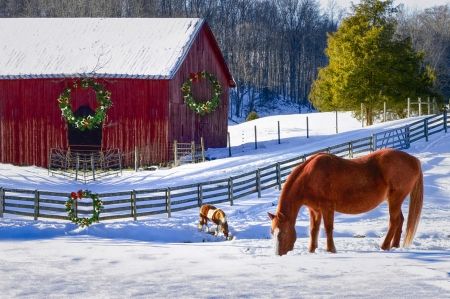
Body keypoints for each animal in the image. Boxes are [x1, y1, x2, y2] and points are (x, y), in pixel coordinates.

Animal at [268, 149, 424, 256]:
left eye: (282, 232)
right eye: (272, 232)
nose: (279, 254)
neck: (310, 177)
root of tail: (413, 160)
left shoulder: (327, 208)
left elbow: (328, 228)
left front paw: (331, 250)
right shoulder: (314, 210)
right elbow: (314, 230)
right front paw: (312, 250)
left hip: (395, 199)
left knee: (394, 221)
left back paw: (384, 246)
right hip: (394, 200)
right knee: (400, 220)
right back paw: (395, 246)